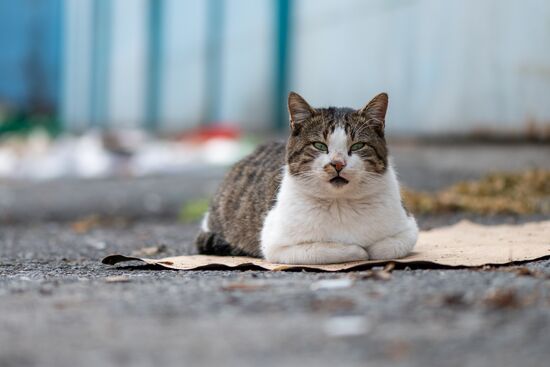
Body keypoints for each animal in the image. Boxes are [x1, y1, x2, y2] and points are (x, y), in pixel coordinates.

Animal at [197, 92, 418, 264]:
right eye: (319, 145)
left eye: (357, 146)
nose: (338, 164)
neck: (340, 203)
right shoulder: (277, 246)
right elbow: (337, 249)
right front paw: (357, 250)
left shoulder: (409, 230)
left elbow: (383, 248)